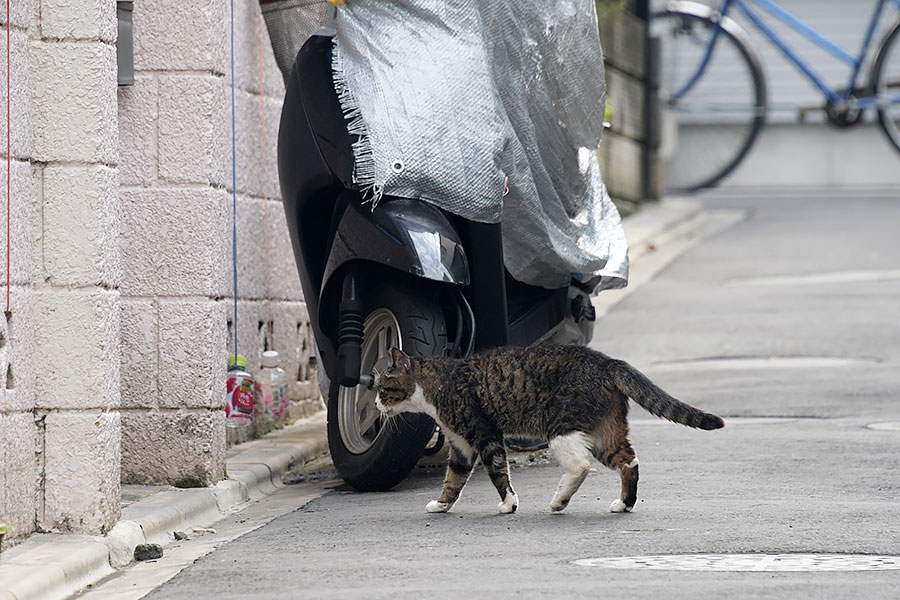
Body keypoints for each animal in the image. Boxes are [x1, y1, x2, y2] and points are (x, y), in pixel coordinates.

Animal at [372, 344, 724, 512]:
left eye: (382, 389)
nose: (375, 405)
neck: (437, 384)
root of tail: (607, 361)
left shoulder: (485, 435)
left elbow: (498, 472)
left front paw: (509, 504)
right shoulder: (460, 446)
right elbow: (453, 480)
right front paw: (441, 504)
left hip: (560, 424)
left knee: (581, 466)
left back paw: (560, 500)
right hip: (605, 430)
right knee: (628, 461)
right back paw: (623, 504)